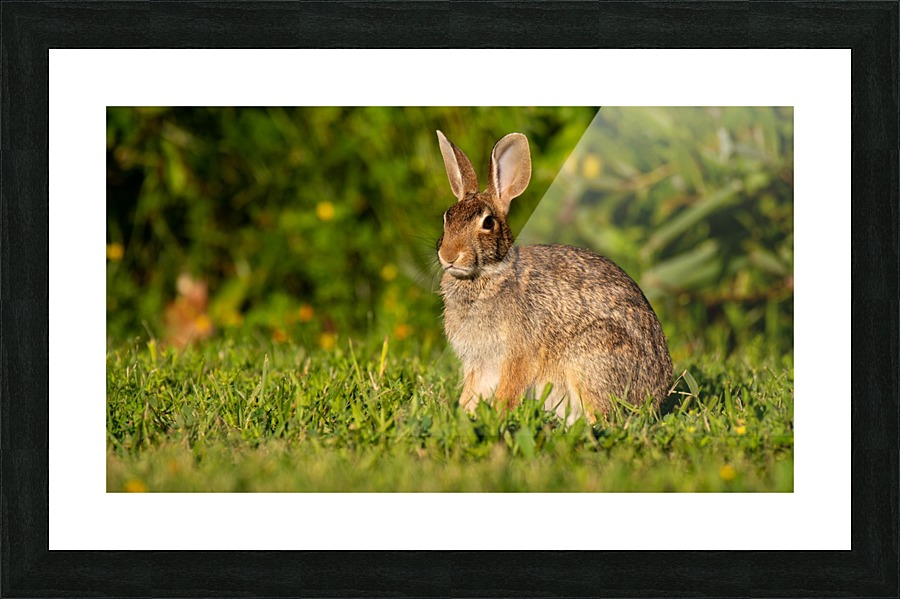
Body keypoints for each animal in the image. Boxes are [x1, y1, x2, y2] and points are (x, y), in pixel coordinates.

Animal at [435, 130, 673, 423]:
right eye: (446, 218)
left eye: (488, 223)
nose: (448, 255)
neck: (487, 276)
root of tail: (655, 395)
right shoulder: (479, 363)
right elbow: (471, 392)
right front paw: (462, 416)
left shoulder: (519, 355)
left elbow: (509, 390)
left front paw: (498, 416)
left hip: (591, 357)